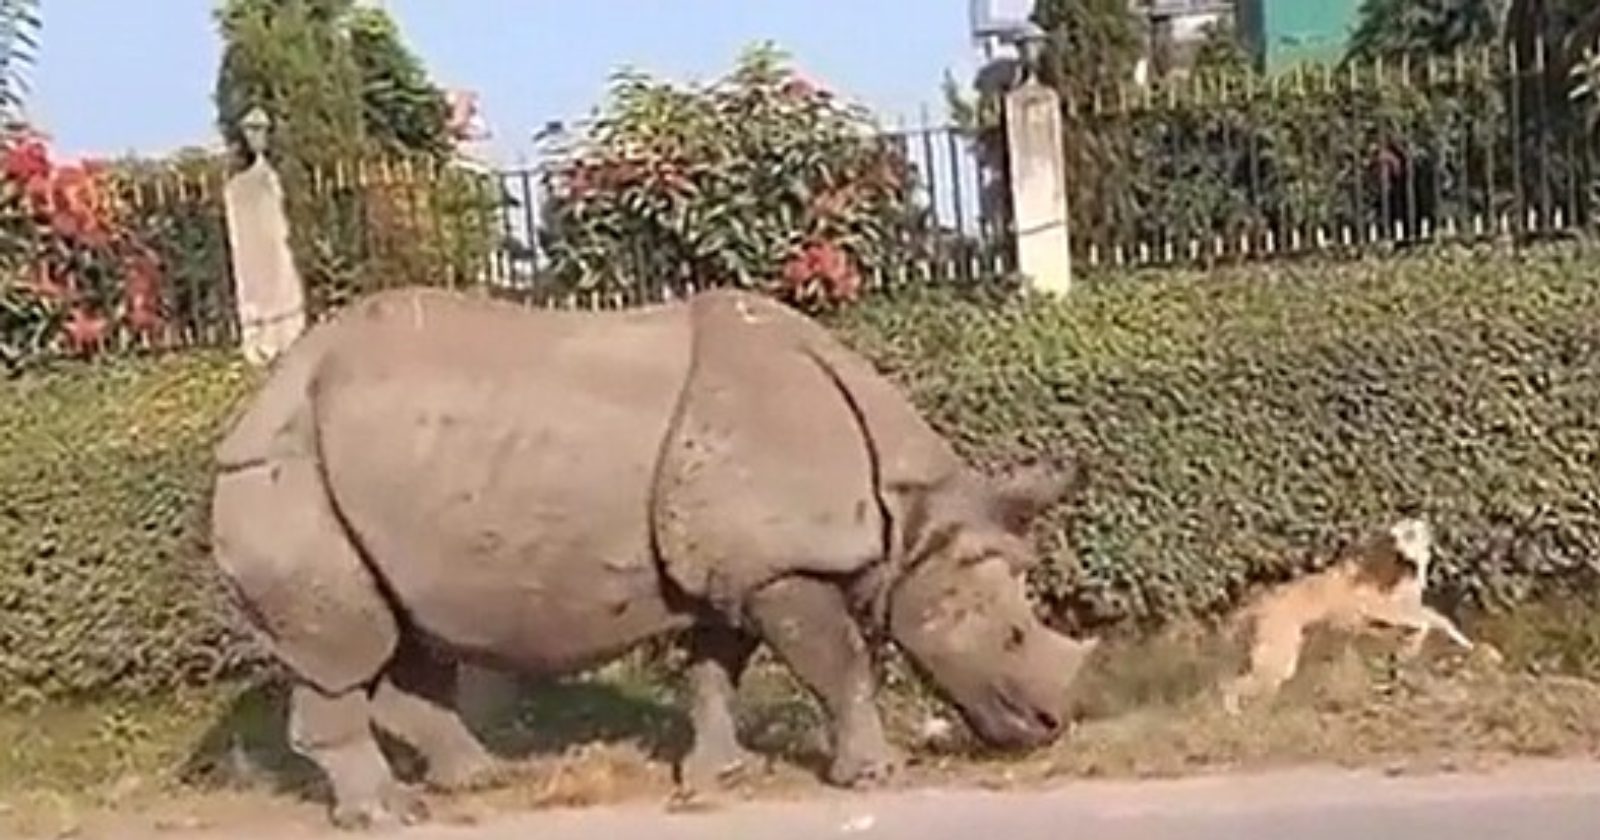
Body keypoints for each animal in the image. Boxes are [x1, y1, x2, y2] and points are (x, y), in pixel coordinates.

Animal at [1222, 518, 1472, 713]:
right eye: (1397, 537)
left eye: (1411, 534)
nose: (1405, 555)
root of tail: (1260, 604)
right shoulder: (1387, 609)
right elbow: (1428, 621)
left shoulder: (1387, 618)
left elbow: (1434, 620)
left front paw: (1458, 642)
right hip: (1277, 659)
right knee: (1235, 687)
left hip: (1273, 658)